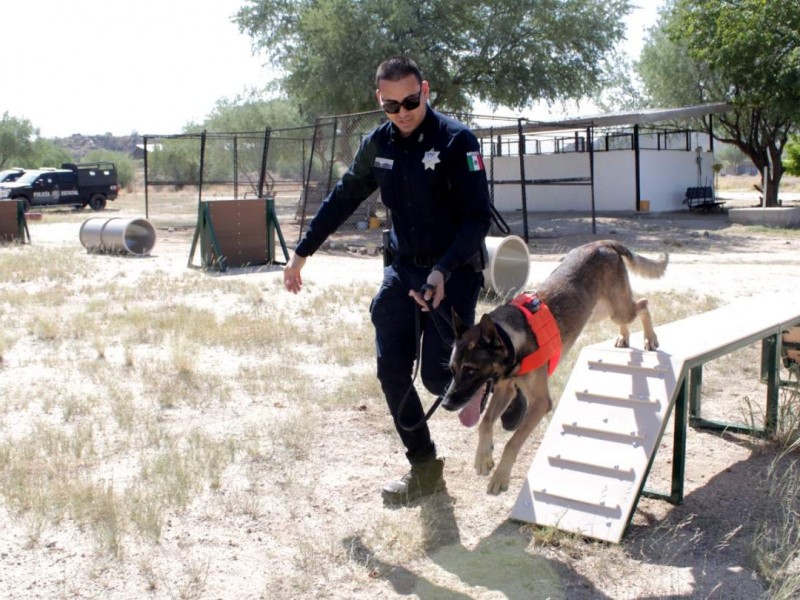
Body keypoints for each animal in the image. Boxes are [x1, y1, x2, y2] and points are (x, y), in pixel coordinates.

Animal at [440, 238, 664, 492]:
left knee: (643, 304)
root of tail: (600, 244)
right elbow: (485, 422)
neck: (512, 340)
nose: (446, 404)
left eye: (470, 370)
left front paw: (500, 477)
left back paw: (650, 338)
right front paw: (483, 458)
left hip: (618, 309)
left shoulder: (539, 403)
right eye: (452, 370)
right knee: (628, 315)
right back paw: (624, 338)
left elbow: (512, 442)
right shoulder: (505, 390)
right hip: (600, 311)